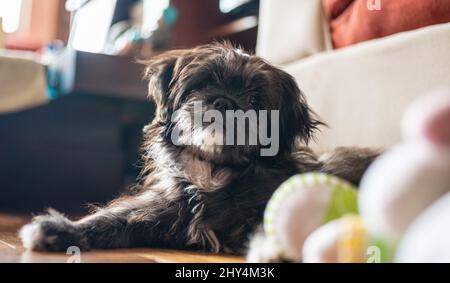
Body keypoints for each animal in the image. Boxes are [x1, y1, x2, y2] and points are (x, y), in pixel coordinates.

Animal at [20, 42, 380, 260]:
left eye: (256, 101)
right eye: (204, 84)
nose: (224, 102)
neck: (214, 172)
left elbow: (273, 225)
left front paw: (273, 251)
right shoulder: (157, 208)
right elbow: (111, 219)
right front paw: (62, 230)